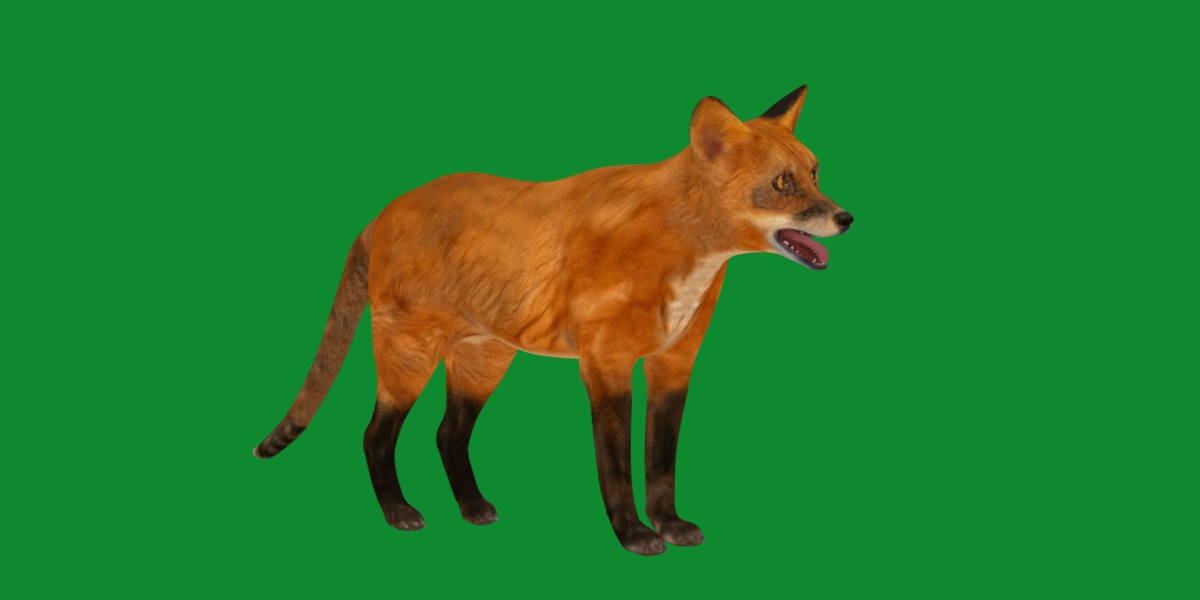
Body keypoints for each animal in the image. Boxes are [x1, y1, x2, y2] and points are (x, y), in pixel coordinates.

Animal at [254, 85, 853, 555]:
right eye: (782, 184)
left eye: (815, 173)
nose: (847, 217)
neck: (684, 256)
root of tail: (385, 209)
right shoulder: (606, 365)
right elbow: (617, 467)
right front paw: (635, 536)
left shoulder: (672, 365)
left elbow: (661, 464)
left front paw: (669, 525)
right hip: (410, 359)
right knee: (374, 436)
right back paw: (399, 513)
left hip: (483, 363)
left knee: (448, 434)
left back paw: (472, 508)